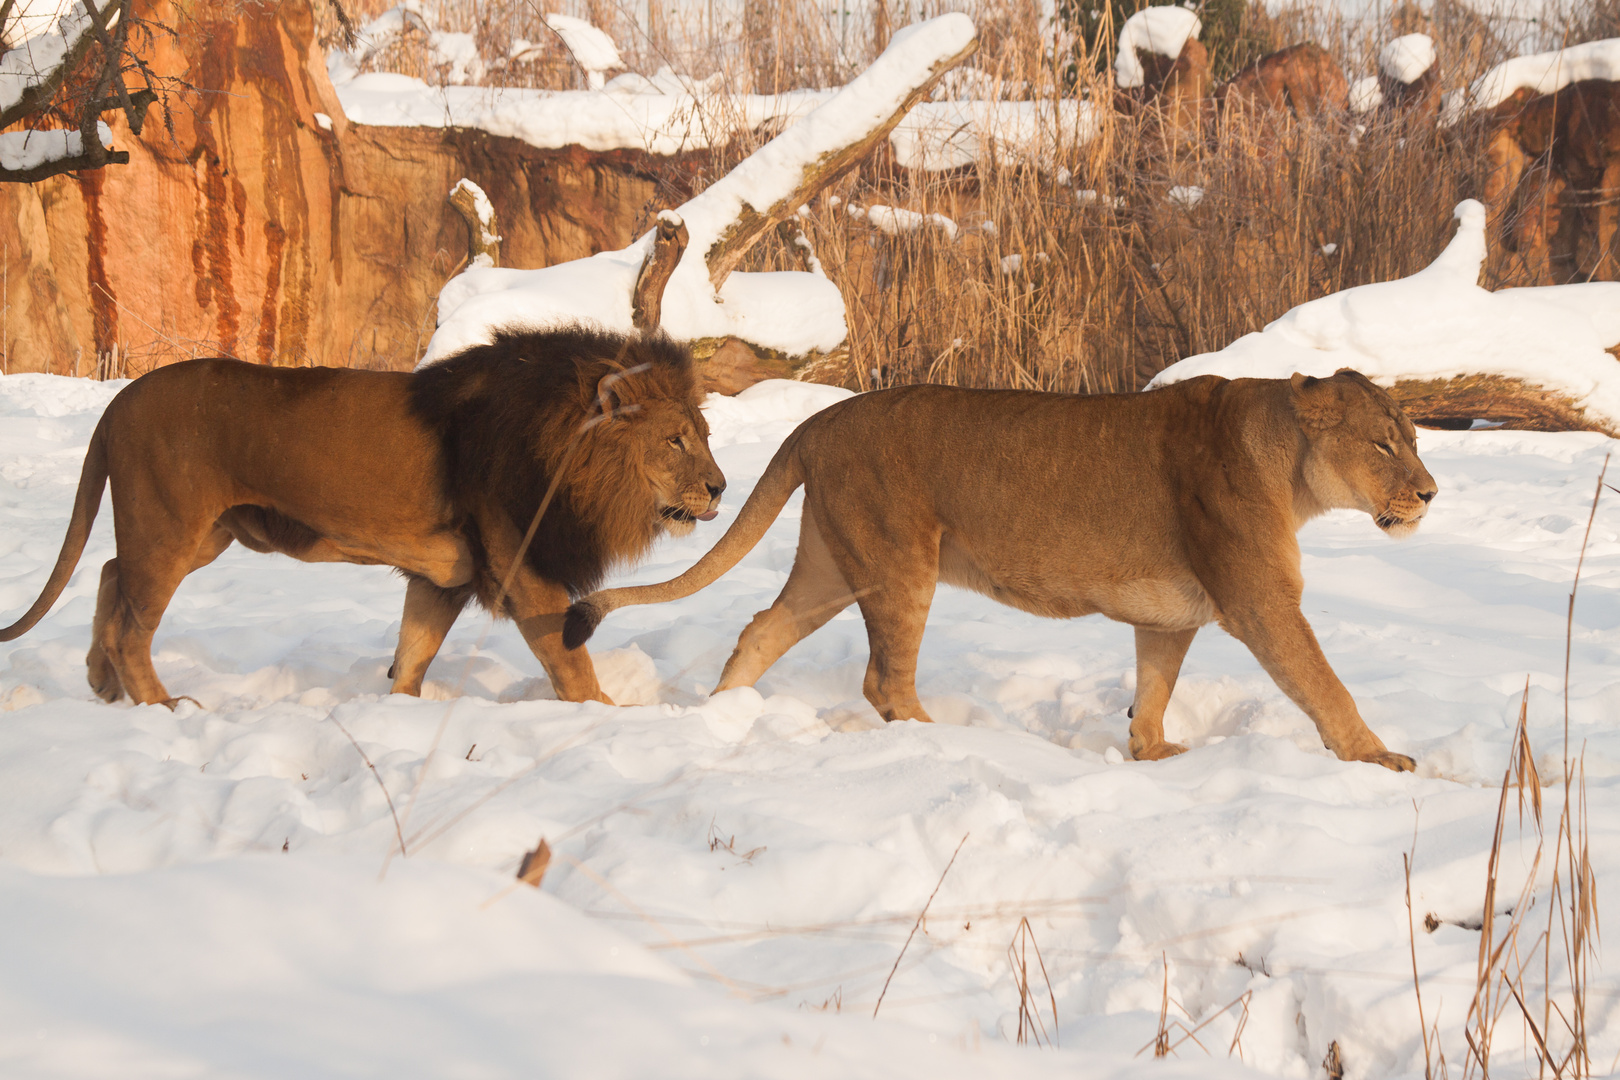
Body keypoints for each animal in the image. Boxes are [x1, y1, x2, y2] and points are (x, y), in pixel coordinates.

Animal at [0, 325, 722, 705]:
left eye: (704, 435)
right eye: (675, 440)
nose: (719, 488)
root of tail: (118, 402)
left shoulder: (445, 576)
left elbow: (413, 654)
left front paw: (398, 714)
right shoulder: (523, 570)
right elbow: (571, 667)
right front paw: (606, 716)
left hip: (205, 534)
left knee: (109, 574)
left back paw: (101, 684)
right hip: (169, 528)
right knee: (130, 622)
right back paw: (164, 706)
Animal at [570, 372, 1432, 767]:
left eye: (1414, 439)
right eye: (1382, 443)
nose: (1429, 492)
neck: (1289, 468)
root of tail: (820, 417)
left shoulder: (1169, 616)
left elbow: (1154, 689)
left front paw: (1152, 752)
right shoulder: (1260, 600)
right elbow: (1324, 683)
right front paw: (1380, 759)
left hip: (833, 563)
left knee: (762, 629)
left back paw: (725, 718)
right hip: (899, 561)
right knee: (884, 683)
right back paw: (954, 741)